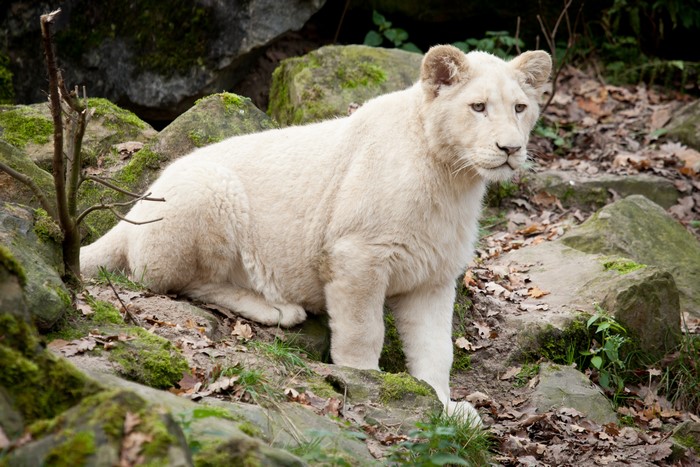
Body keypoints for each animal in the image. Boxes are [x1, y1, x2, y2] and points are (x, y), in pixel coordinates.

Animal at [81, 44, 552, 424]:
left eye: (519, 107)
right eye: (478, 107)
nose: (510, 149)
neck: (453, 179)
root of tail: (137, 204)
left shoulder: (433, 274)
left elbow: (436, 349)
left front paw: (445, 407)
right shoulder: (356, 253)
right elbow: (364, 330)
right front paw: (372, 385)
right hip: (209, 189)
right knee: (173, 281)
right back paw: (278, 307)